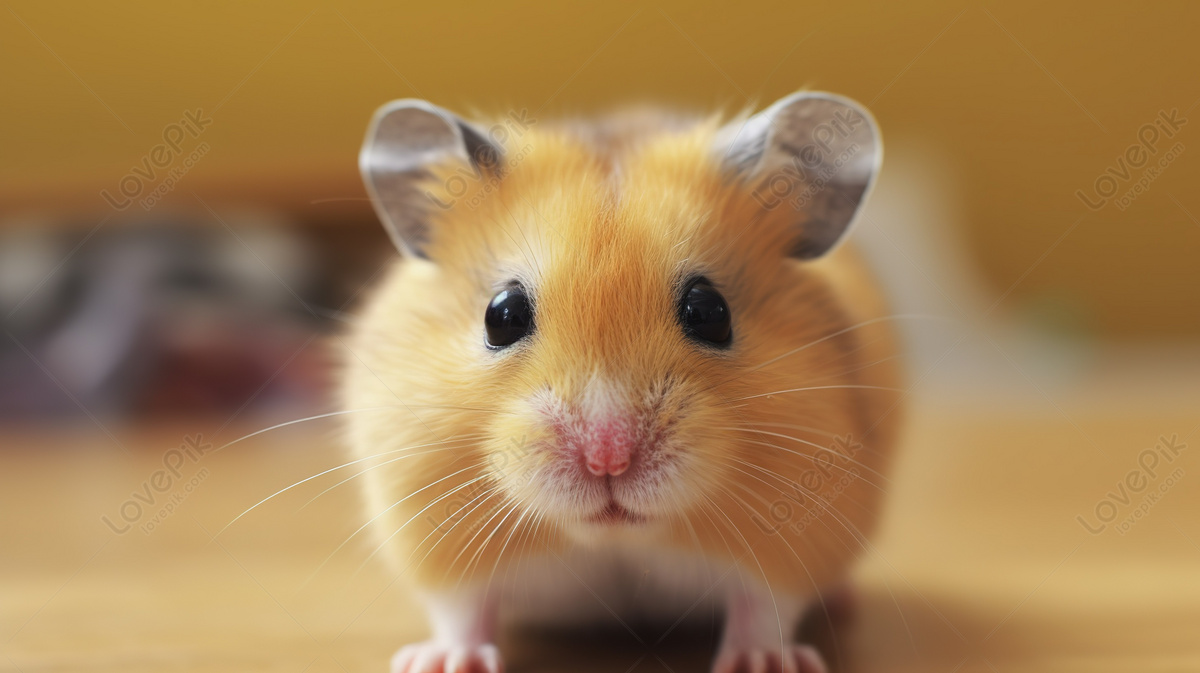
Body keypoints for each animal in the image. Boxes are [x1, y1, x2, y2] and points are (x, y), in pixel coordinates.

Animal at [342, 91, 903, 673]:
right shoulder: (430, 530)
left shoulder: (799, 536)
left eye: (710, 312)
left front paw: (763, 664)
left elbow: (763, 608)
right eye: (502, 315)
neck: (614, 541)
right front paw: (444, 663)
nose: (607, 458)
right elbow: (461, 610)